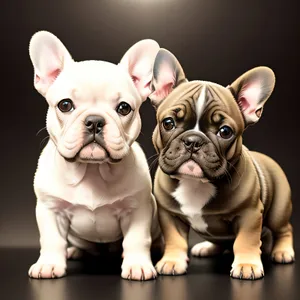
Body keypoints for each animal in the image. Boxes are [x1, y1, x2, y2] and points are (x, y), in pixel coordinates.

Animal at [27, 31, 161, 282]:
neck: (92, 170)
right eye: (65, 105)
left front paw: (137, 265)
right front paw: (49, 264)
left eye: (124, 108)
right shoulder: (50, 209)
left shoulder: (137, 209)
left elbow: (137, 239)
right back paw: (74, 251)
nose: (95, 121)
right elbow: (51, 239)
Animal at [149, 48, 294, 280]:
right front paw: (172, 261)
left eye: (225, 131)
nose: (193, 141)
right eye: (168, 123)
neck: (196, 183)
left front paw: (247, 265)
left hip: (279, 210)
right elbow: (175, 239)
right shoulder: (169, 215)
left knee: (284, 229)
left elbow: (246, 241)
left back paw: (283, 251)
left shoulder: (250, 214)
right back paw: (207, 247)